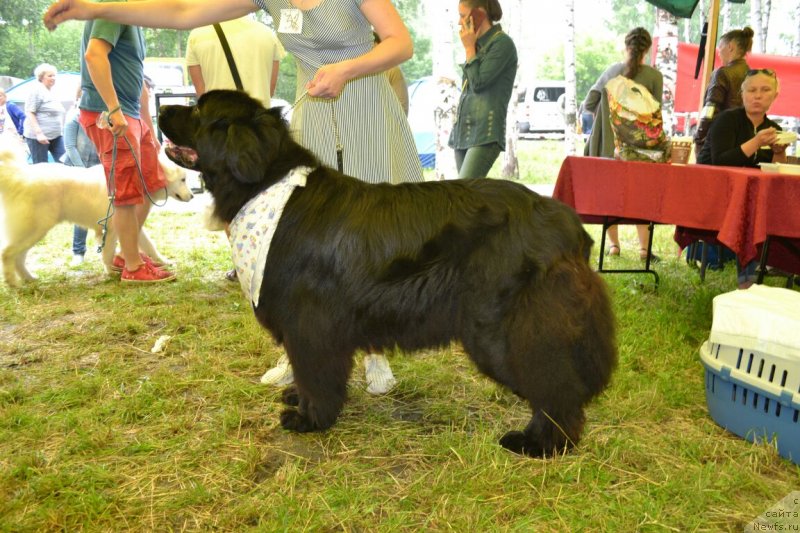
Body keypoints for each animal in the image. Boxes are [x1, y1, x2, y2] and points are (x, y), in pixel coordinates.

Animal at [0, 145, 194, 286]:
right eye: (183, 180)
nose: (192, 196)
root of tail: (19, 176)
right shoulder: (112, 227)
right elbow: (108, 253)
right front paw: (112, 272)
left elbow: (149, 246)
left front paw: (163, 261)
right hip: (34, 229)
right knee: (8, 253)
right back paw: (13, 283)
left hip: (34, 232)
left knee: (19, 257)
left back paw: (29, 279)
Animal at [159, 89, 616, 456]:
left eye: (197, 109)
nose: (161, 107)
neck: (268, 188)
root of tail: (567, 224)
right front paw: (298, 399)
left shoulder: (310, 324)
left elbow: (315, 374)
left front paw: (310, 418)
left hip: (504, 329)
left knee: (554, 387)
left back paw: (540, 444)